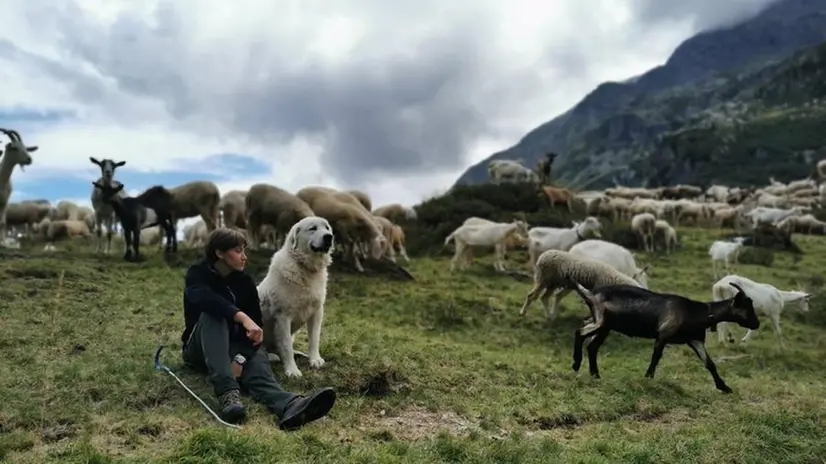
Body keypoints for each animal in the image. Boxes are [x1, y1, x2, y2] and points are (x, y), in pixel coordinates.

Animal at [258, 216, 334, 378]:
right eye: (313, 228)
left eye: (327, 228)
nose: (329, 237)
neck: (304, 268)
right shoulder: (283, 316)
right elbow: (286, 345)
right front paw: (292, 370)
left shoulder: (317, 312)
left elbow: (314, 338)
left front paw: (314, 359)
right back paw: (273, 356)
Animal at [568, 280, 756, 394]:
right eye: (745, 307)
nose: (757, 324)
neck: (698, 312)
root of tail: (591, 294)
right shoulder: (663, 334)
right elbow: (656, 357)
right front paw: (648, 378)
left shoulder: (695, 340)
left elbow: (709, 363)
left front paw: (724, 387)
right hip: (601, 320)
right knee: (580, 332)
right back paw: (576, 364)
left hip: (605, 326)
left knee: (592, 345)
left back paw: (595, 375)